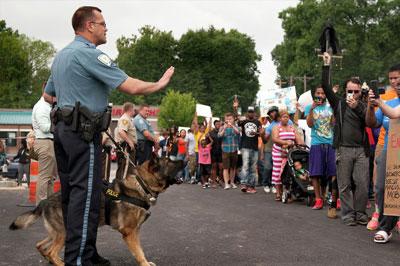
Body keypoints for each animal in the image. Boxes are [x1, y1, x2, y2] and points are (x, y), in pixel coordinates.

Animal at [9, 155, 184, 266]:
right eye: (169, 161)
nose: (183, 160)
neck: (142, 184)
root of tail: (45, 201)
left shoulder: (136, 231)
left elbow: (140, 251)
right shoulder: (130, 233)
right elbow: (139, 252)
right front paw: (145, 263)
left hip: (56, 232)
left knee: (40, 245)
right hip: (64, 232)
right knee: (51, 252)